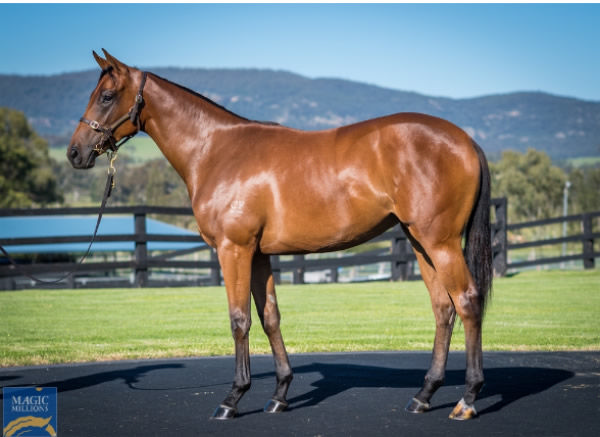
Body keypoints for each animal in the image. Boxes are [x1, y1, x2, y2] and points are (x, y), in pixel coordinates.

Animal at [69, 49, 492, 420]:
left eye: (106, 96)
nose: (75, 153)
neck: (215, 150)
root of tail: (466, 140)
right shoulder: (258, 254)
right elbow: (269, 316)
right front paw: (280, 395)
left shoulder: (233, 249)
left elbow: (239, 319)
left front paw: (233, 399)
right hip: (421, 243)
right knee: (443, 309)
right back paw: (424, 395)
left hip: (441, 243)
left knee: (467, 302)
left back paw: (468, 400)